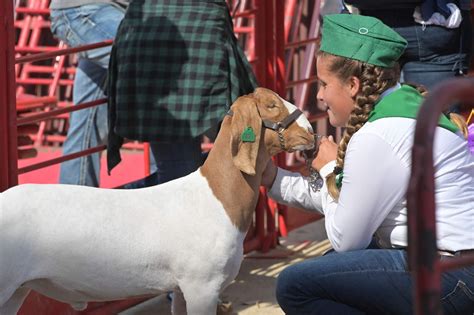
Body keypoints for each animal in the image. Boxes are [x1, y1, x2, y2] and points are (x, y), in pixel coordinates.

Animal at [0, 87, 314, 315]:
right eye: (272, 105)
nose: (311, 131)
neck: (218, 197)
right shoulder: (202, 285)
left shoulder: (181, 289)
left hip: (17, 290)